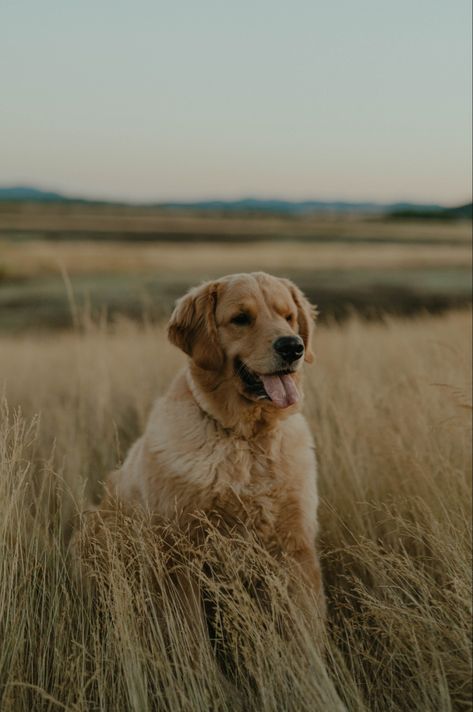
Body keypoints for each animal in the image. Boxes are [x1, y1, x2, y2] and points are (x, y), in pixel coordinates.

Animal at [98, 272, 324, 616]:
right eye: (241, 319)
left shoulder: (297, 547)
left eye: (288, 317)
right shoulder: (180, 559)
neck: (247, 438)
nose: (293, 347)